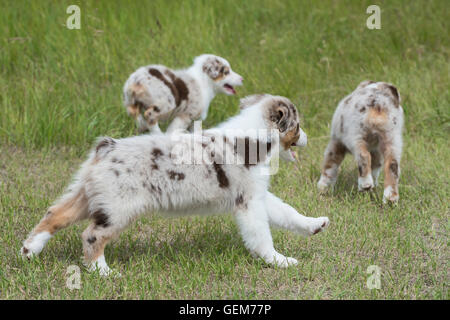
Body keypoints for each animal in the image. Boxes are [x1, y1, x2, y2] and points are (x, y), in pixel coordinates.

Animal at [21, 94, 328, 276]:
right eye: (297, 126)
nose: (307, 138)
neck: (252, 137)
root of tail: (107, 148)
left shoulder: (258, 194)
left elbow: (287, 212)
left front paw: (314, 225)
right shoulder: (248, 202)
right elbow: (262, 236)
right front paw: (279, 261)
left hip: (89, 196)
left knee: (54, 215)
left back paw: (29, 251)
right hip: (118, 207)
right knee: (91, 236)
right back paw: (104, 272)